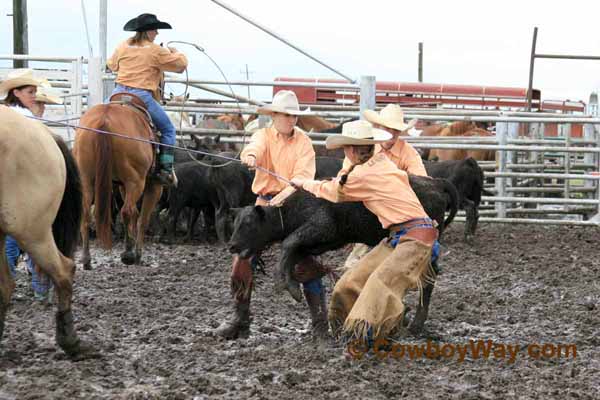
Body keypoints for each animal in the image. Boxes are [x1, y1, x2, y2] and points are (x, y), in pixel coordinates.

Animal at [72, 94, 164, 268]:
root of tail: (104, 119)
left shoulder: (122, 185)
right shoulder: (153, 186)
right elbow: (143, 219)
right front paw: (137, 253)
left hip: (86, 179)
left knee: (86, 214)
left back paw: (86, 259)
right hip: (136, 181)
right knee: (128, 211)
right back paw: (128, 255)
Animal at [227, 176, 458, 334]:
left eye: (248, 224)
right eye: (235, 223)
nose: (232, 245)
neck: (291, 209)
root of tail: (436, 183)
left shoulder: (320, 226)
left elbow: (288, 243)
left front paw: (283, 284)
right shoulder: (320, 241)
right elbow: (294, 254)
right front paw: (293, 286)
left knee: (427, 279)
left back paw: (416, 323)